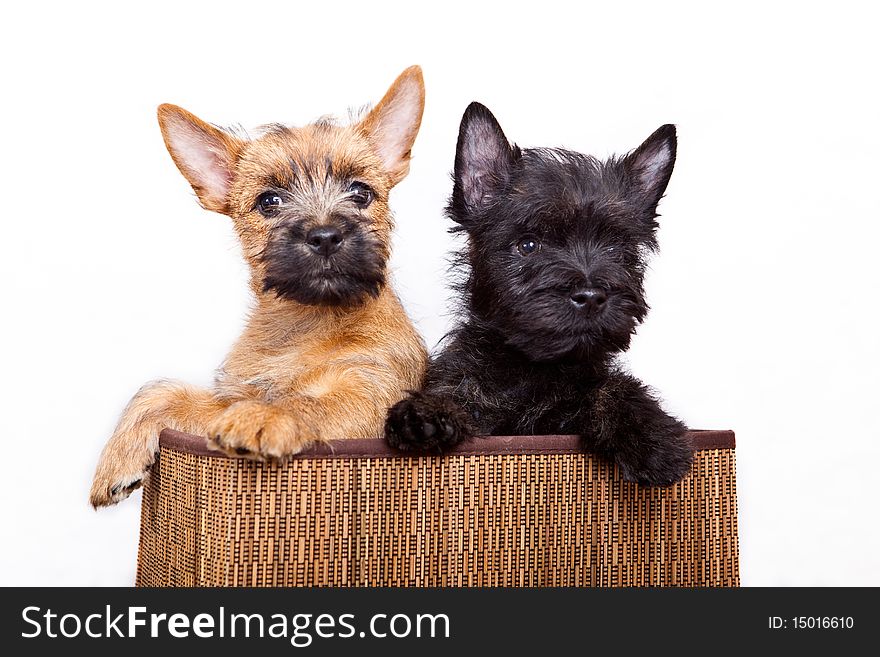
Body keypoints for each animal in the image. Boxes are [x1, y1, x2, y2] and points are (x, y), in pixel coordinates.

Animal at [91, 66, 428, 508]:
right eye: (269, 201)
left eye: (360, 192)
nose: (325, 236)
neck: (305, 324)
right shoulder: (231, 398)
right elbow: (162, 391)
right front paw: (115, 460)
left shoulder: (373, 391)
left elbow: (309, 401)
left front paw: (269, 414)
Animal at [386, 101, 696, 482]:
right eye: (528, 245)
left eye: (616, 249)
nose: (591, 296)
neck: (534, 371)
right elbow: (462, 394)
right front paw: (426, 414)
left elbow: (614, 387)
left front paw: (651, 437)